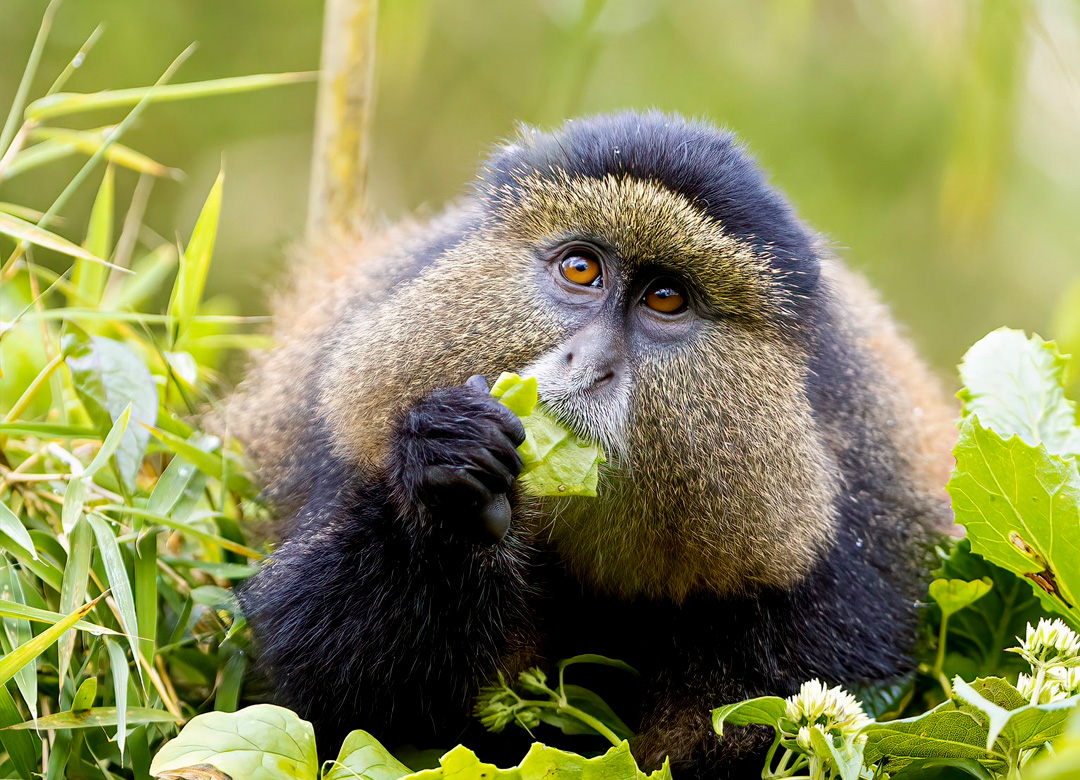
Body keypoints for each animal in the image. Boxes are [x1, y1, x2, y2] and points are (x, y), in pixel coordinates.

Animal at [228, 111, 957, 779]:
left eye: (666, 299)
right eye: (581, 269)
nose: (591, 363)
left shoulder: (832, 582)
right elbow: (345, 688)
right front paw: (450, 475)